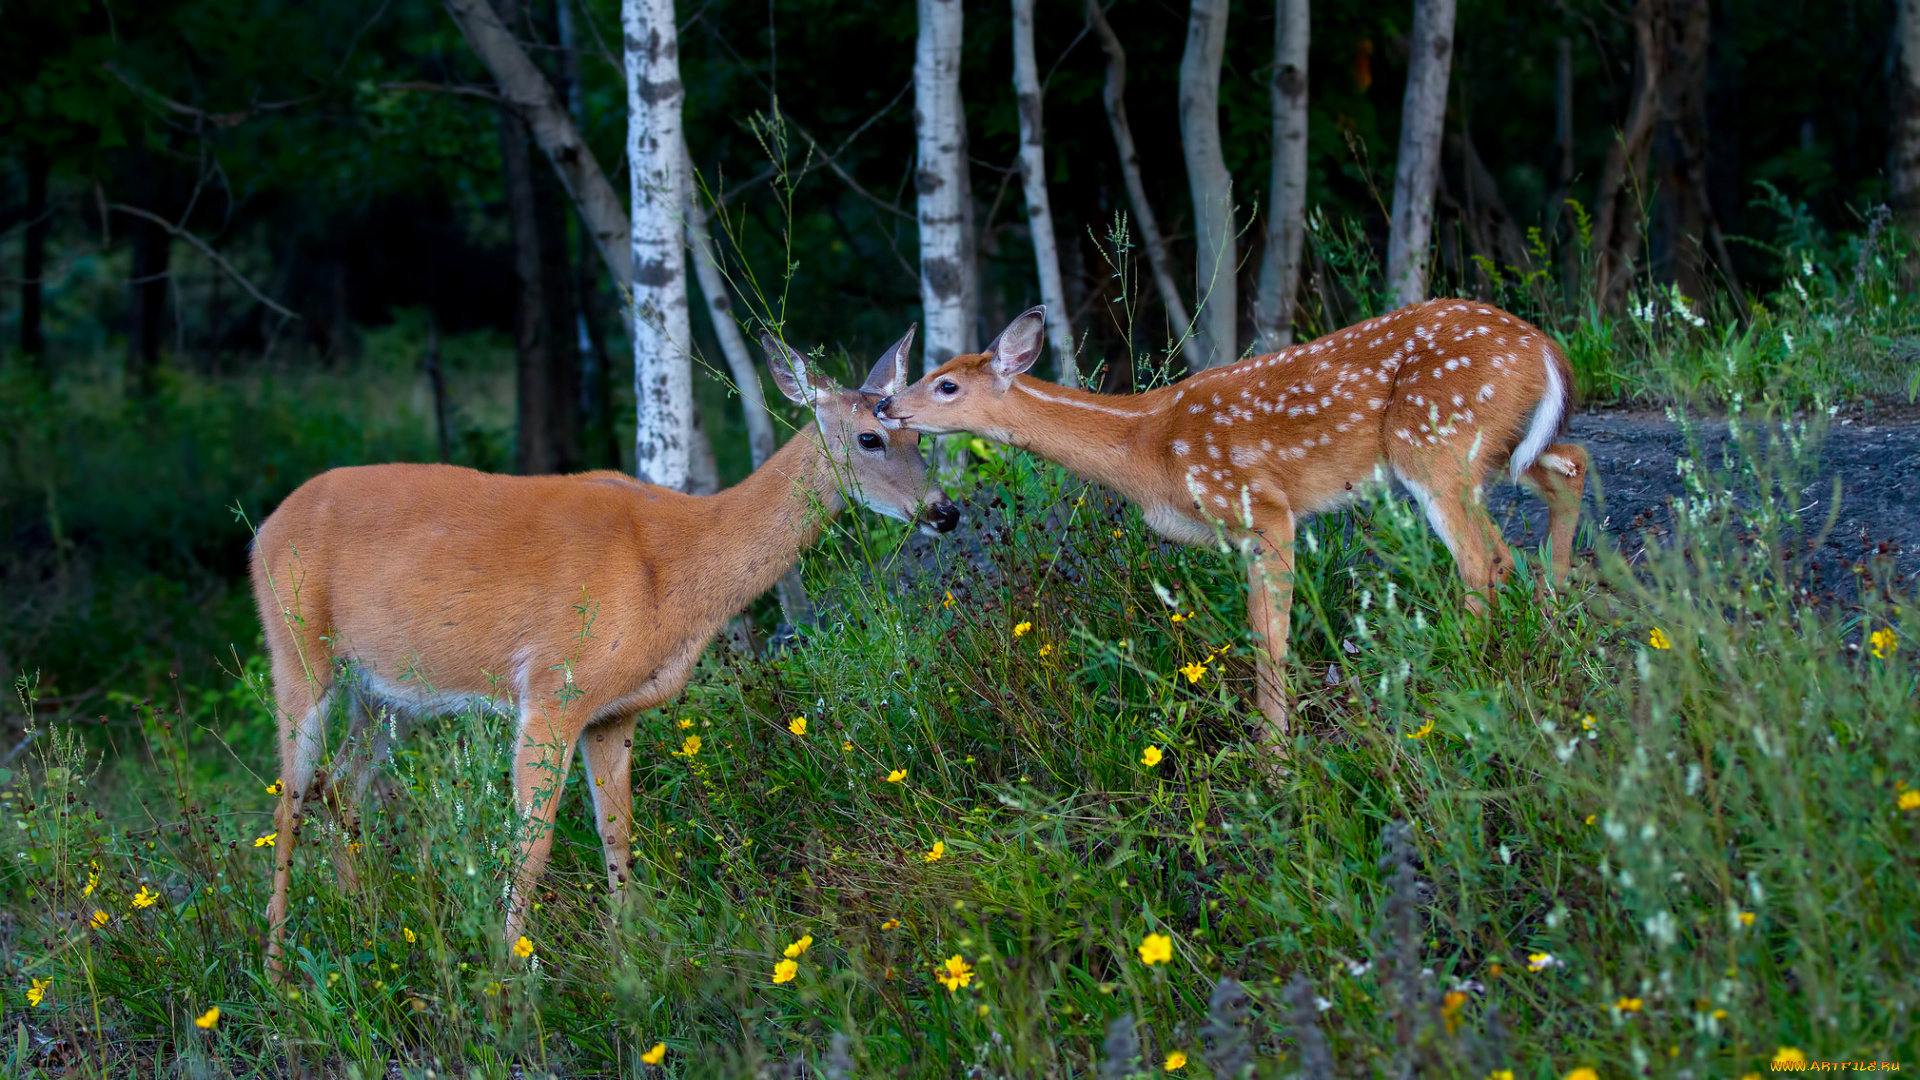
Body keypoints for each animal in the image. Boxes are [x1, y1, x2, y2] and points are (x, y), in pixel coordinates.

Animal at [251, 322, 956, 972]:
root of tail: (263, 529)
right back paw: (278, 966)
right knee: (289, 798)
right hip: (296, 648)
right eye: (869, 437)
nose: (945, 512)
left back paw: (360, 919)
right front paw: (512, 978)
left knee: (341, 787)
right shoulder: (553, 689)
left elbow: (618, 835)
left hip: (386, 693)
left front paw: (627, 961)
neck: (673, 569)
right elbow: (530, 846)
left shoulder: (616, 710)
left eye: (919, 437)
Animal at [875, 294, 1589, 749]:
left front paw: (1274, 758)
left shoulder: (1261, 505)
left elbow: (1268, 635)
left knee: (1483, 556)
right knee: (1568, 468)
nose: (884, 405)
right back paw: (1551, 619)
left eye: (945, 385)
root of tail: (1545, 347)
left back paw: (1458, 679)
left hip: (1435, 443)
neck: (1146, 448)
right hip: (1495, 448)